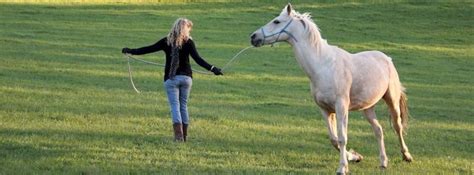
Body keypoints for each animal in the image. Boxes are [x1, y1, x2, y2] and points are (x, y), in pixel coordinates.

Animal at [250, 3, 412, 174]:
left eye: (276, 21)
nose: (253, 37)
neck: (323, 66)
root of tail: (387, 59)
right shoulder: (325, 109)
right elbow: (334, 139)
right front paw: (354, 157)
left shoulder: (341, 107)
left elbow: (342, 138)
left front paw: (342, 168)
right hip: (368, 108)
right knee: (379, 130)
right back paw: (383, 162)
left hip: (392, 101)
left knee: (397, 126)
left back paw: (406, 156)